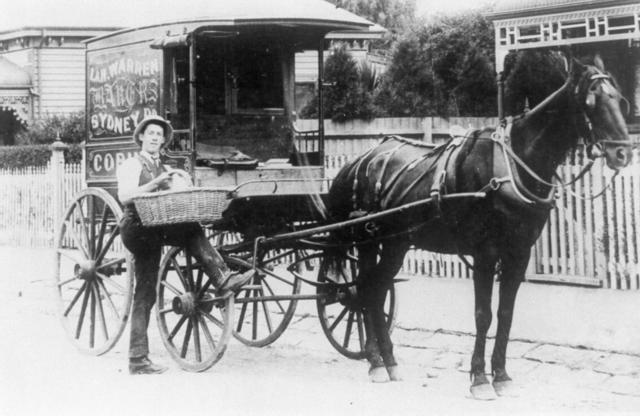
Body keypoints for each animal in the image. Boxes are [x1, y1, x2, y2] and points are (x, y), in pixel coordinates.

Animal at [328, 57, 632, 398]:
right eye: (591, 102)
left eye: (619, 99)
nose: (623, 153)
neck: (511, 167)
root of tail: (363, 159)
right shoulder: (485, 253)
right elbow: (483, 315)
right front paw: (480, 379)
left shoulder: (519, 253)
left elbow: (505, 314)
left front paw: (501, 375)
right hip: (369, 240)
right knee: (366, 291)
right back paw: (376, 362)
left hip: (397, 243)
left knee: (377, 290)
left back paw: (388, 360)